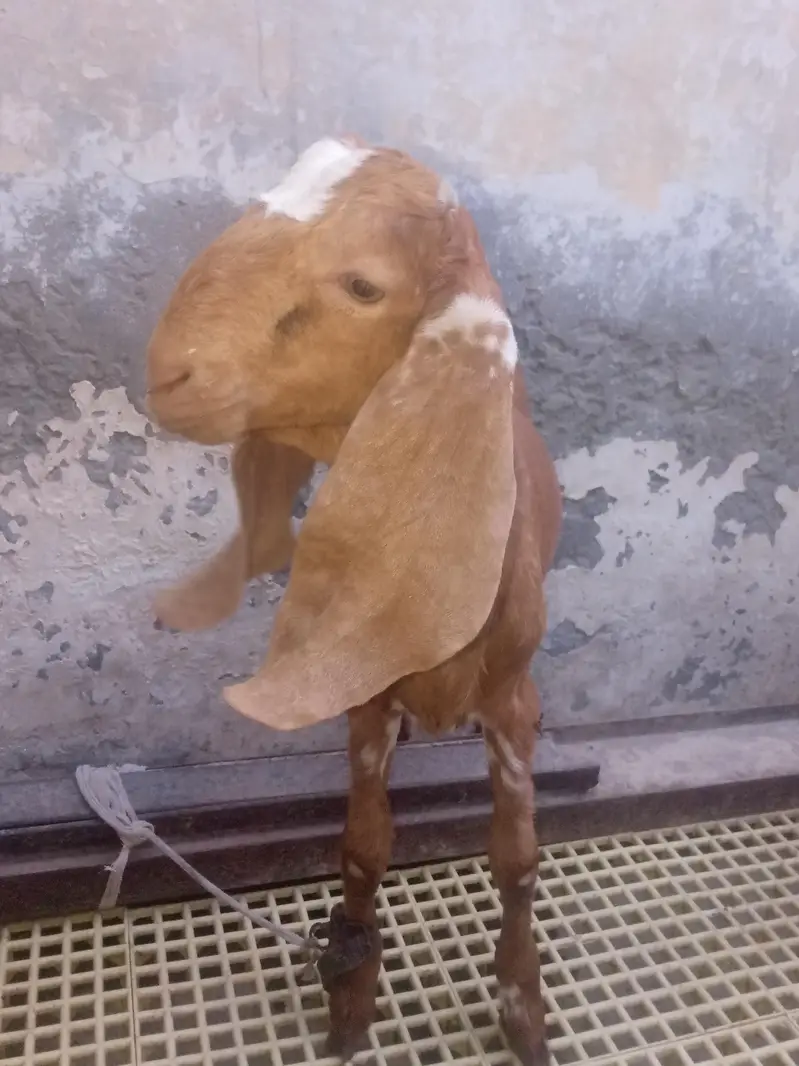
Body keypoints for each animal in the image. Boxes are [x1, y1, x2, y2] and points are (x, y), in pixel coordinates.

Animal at [146, 136, 562, 1066]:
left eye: (363, 286)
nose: (167, 375)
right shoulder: (366, 698)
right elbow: (363, 849)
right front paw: (348, 1004)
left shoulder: (514, 701)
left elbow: (516, 857)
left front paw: (522, 1012)